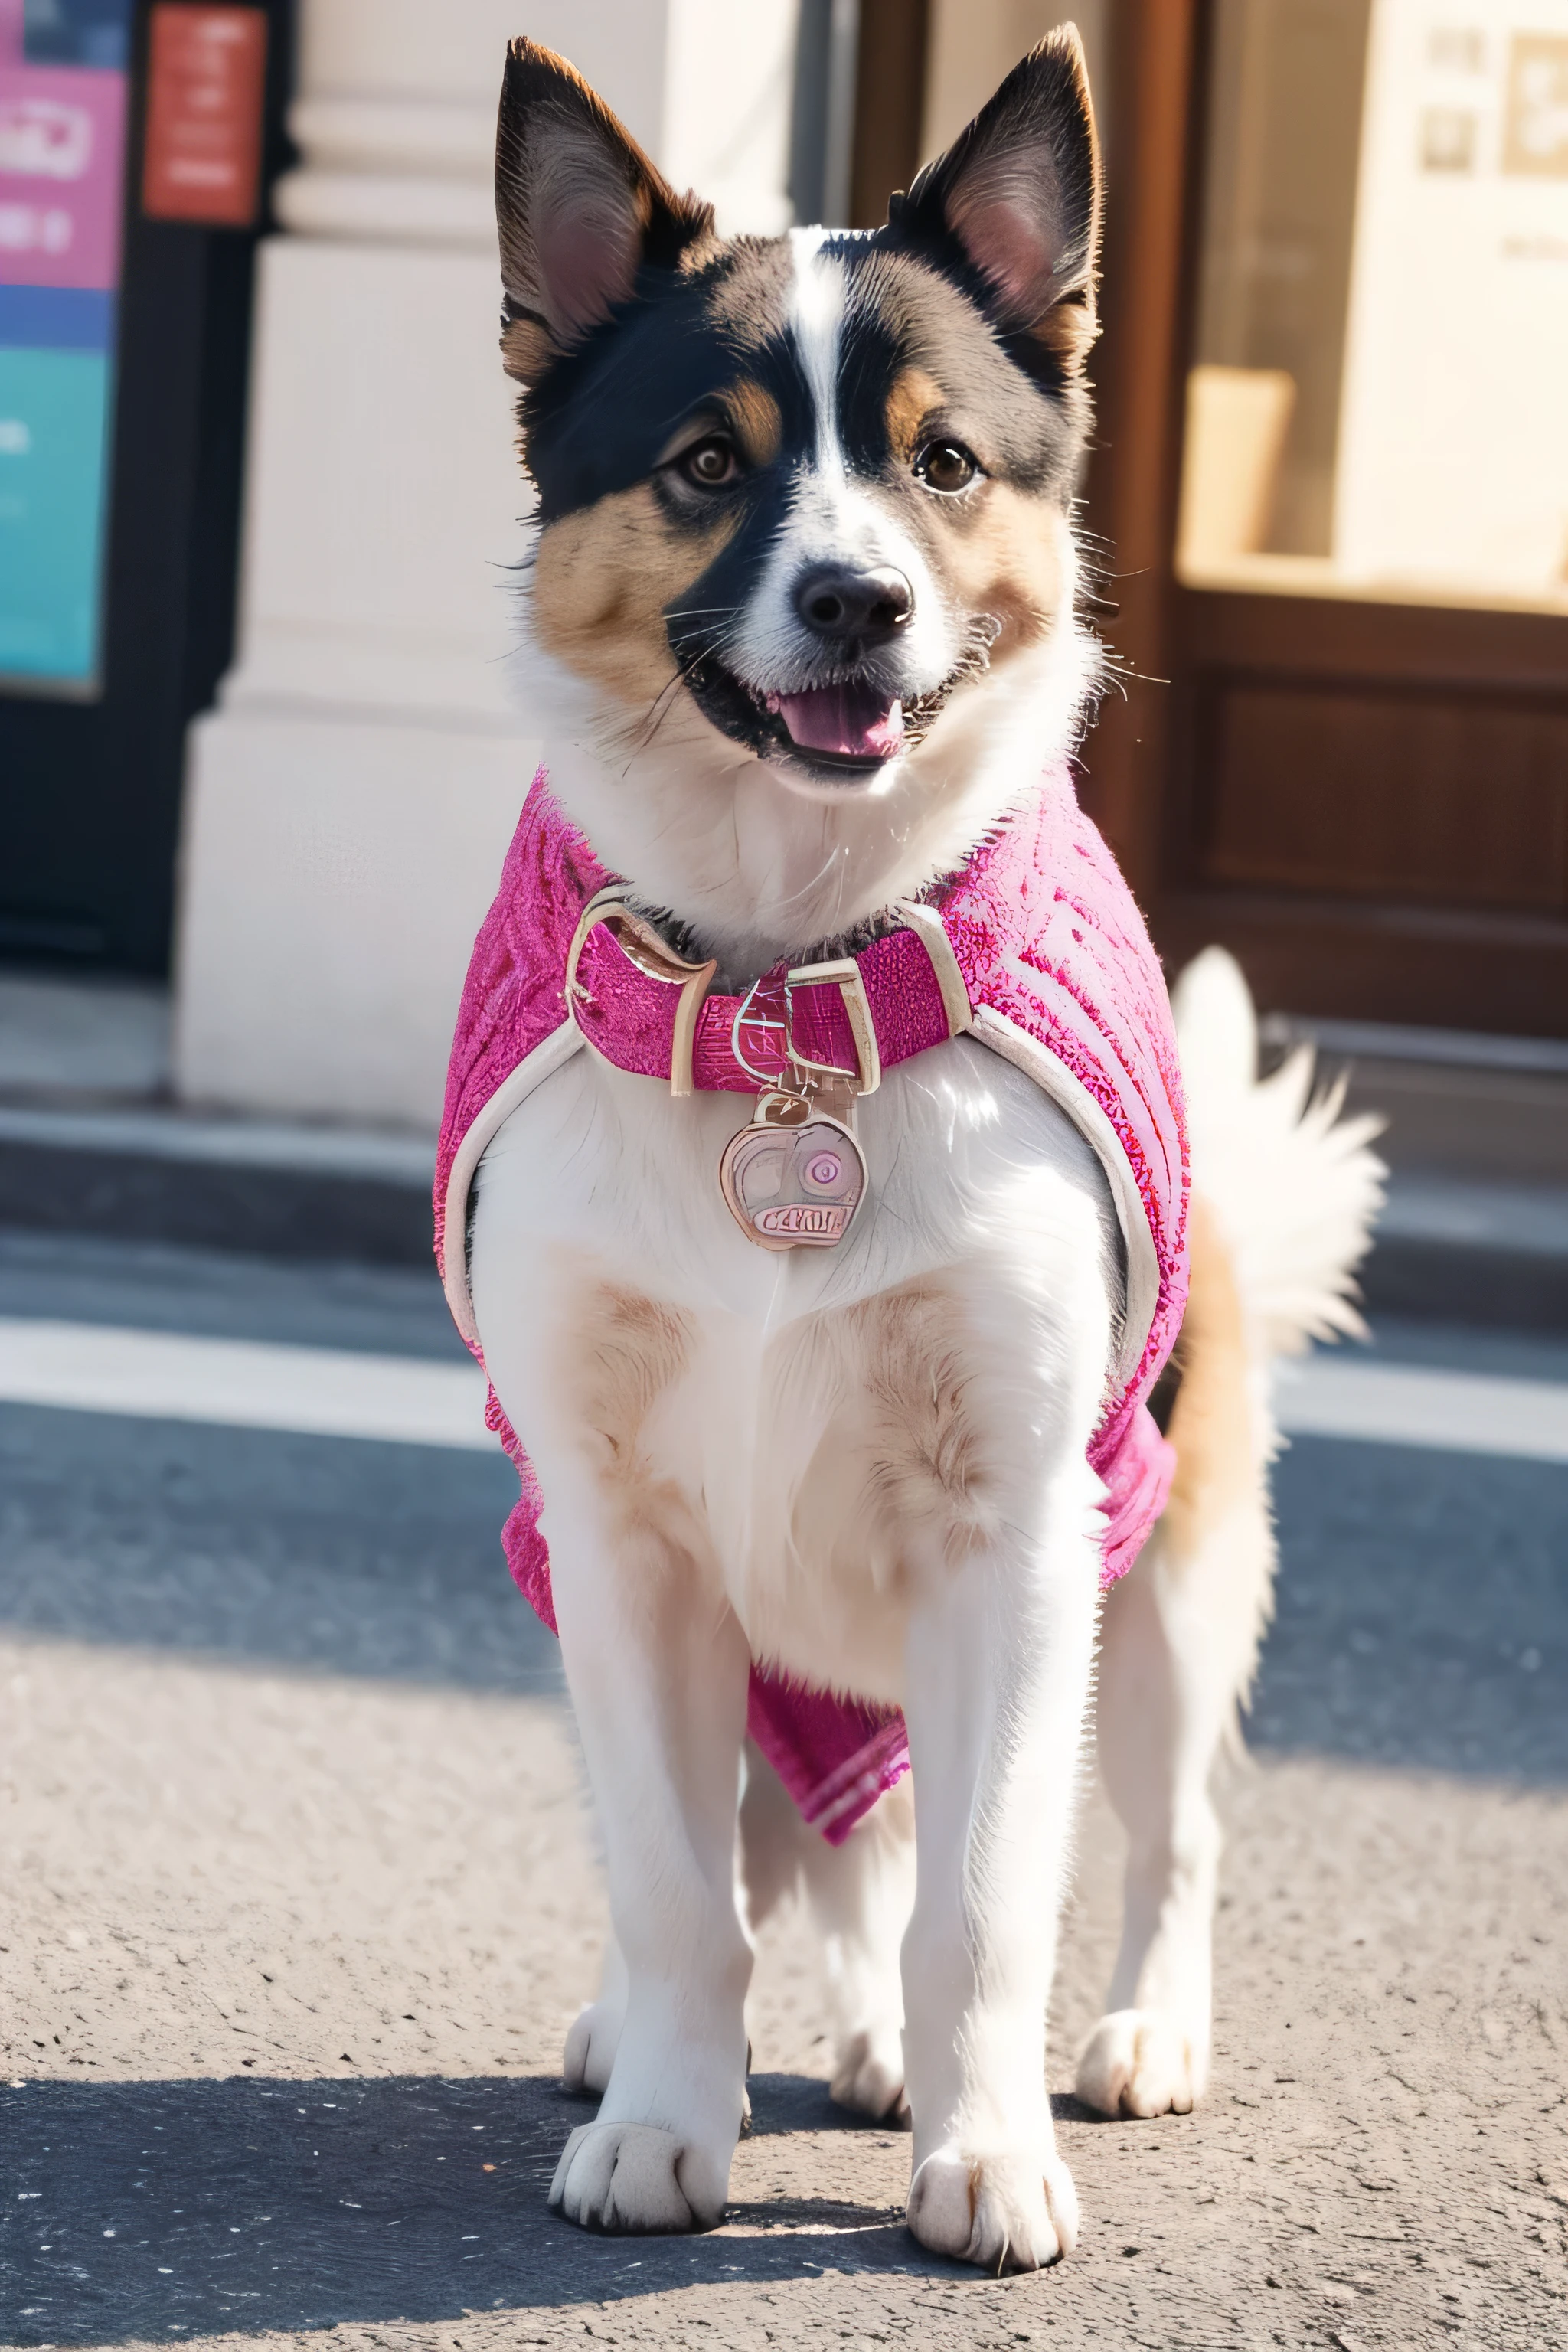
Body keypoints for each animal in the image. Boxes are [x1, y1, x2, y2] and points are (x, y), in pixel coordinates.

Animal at [435, 28, 1382, 2267]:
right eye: (707, 462)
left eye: (945, 464)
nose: (857, 599)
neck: (786, 980)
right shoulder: (612, 1536)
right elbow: (683, 1886)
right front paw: (668, 2111)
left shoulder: (1019, 1534)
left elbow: (985, 1901)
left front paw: (985, 2147)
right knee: (811, 1836)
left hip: (1176, 1567)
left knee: (1156, 1834)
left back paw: (1125, 2031)